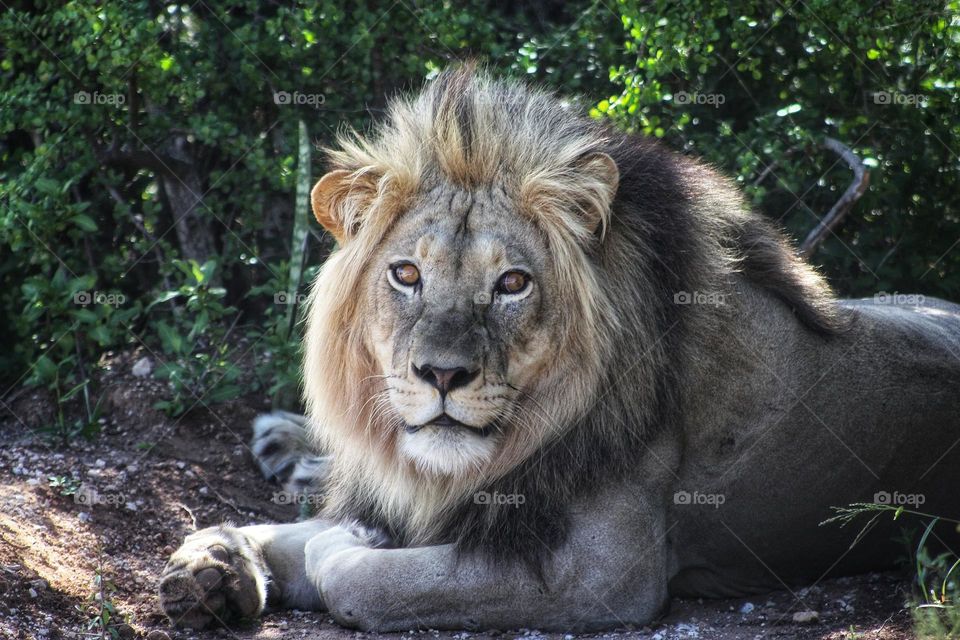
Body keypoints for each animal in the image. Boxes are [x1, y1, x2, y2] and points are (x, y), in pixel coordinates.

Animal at [158, 69, 960, 632]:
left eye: (512, 283)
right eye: (406, 274)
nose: (441, 374)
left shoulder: (604, 575)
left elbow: (357, 575)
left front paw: (337, 546)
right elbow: (279, 532)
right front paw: (213, 566)